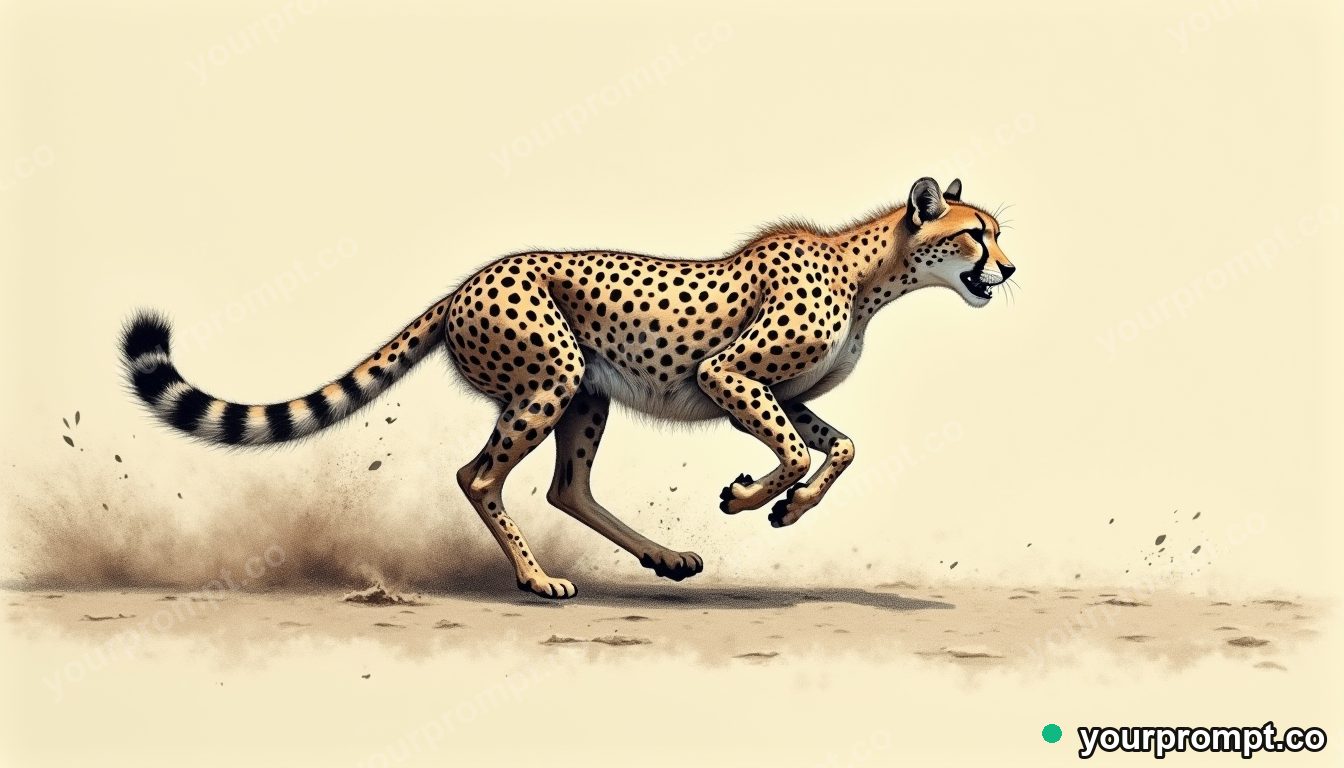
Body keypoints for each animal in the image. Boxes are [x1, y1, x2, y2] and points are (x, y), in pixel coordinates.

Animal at [120, 177, 1016, 599]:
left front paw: (787, 509)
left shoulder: (781, 392)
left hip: (587, 390)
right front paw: (747, 498)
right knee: (479, 475)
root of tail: (470, 280)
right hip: (550, 379)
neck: (871, 273)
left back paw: (663, 557)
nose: (1008, 270)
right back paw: (535, 580)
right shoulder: (726, 374)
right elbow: (797, 451)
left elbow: (840, 447)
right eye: (976, 233)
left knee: (567, 487)